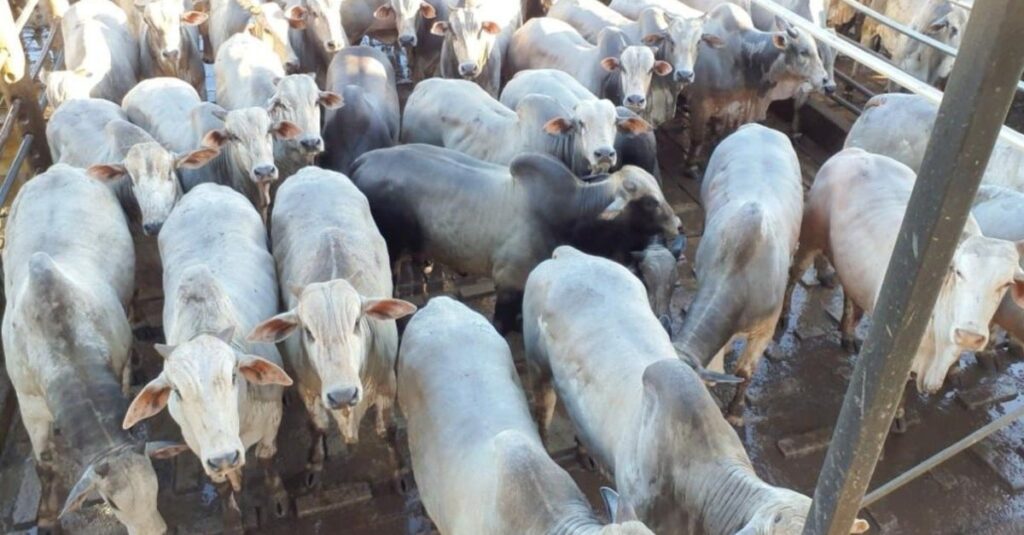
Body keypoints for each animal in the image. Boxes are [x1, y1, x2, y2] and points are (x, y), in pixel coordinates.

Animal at [3, 163, 186, 528]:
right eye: (110, 503)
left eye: (155, 488)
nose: (155, 532)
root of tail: (56, 168)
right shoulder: (29, 404)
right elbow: (44, 465)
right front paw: (48, 521)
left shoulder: (117, 362)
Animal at [122, 183, 296, 524]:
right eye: (176, 391)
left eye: (233, 375)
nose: (225, 456)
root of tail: (206, 187)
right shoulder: (198, 446)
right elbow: (221, 484)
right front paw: (231, 515)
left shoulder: (271, 423)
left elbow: (267, 460)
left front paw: (277, 498)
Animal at [247, 168, 415, 487]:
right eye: (308, 332)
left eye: (357, 322)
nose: (343, 395)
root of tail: (310, 170)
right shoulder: (309, 390)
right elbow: (318, 427)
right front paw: (314, 463)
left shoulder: (388, 383)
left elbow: (387, 431)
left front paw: (399, 471)